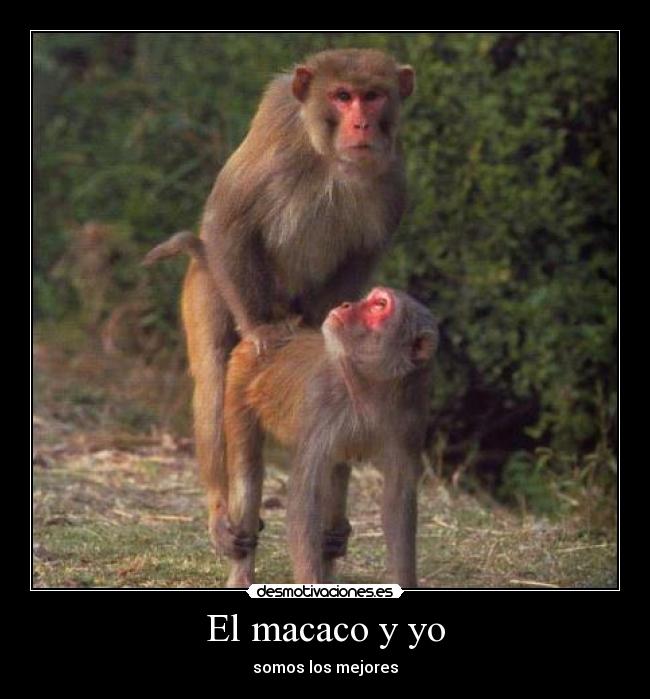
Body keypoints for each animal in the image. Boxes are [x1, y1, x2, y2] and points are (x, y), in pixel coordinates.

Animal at [150, 49, 415, 559]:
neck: (330, 159)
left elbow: (361, 256)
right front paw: (261, 331)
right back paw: (220, 508)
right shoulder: (278, 137)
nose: (361, 123)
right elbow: (229, 220)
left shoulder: (392, 178)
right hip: (209, 283)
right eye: (342, 96)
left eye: (373, 95)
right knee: (215, 373)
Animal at [222, 285, 438, 587]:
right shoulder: (321, 403)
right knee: (247, 471)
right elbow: (304, 500)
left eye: (379, 305)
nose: (347, 304)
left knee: (337, 471)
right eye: (370, 299)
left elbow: (397, 501)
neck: (366, 388)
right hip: (241, 374)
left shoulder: (411, 419)